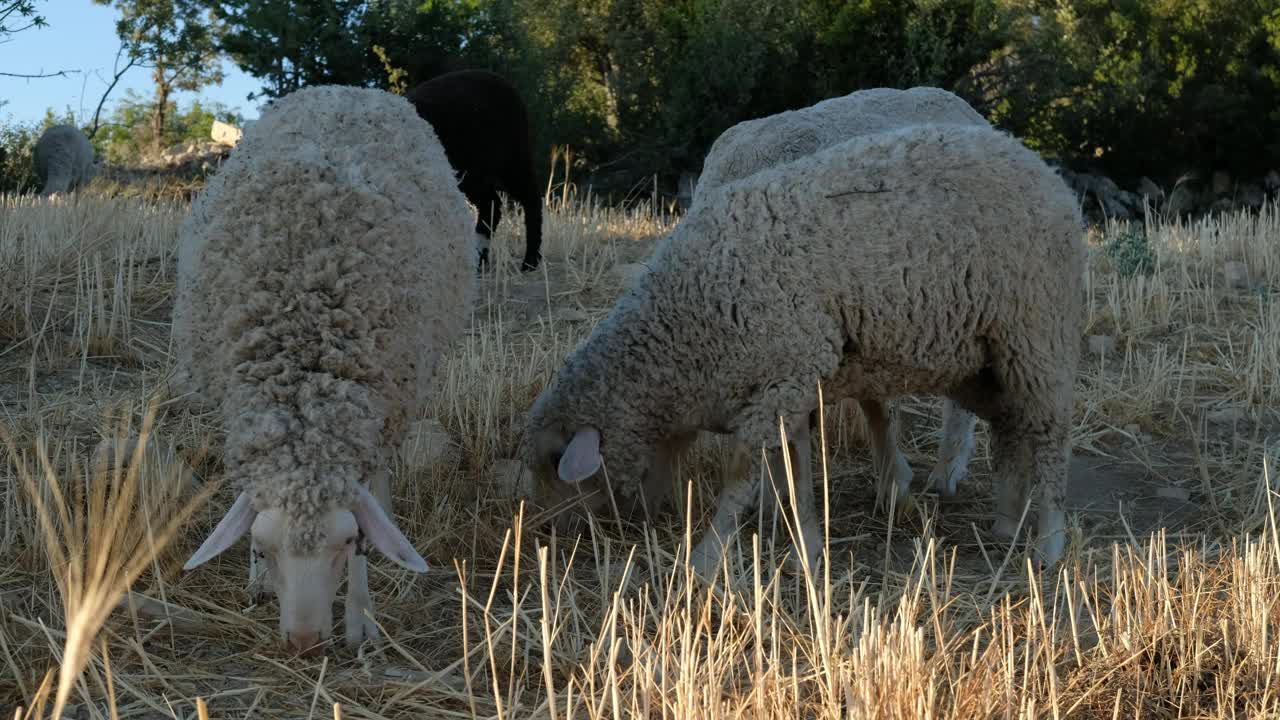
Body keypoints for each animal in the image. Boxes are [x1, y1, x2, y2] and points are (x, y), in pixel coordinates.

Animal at [174, 83, 476, 650]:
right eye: (263, 547)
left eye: (347, 544)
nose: (304, 642)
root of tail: (347, 89)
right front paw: (255, 579)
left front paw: (361, 619)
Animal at [407, 70, 542, 271]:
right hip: (475, 172)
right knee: (491, 204)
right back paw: (481, 260)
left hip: (510, 159)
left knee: (529, 198)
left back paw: (530, 261)